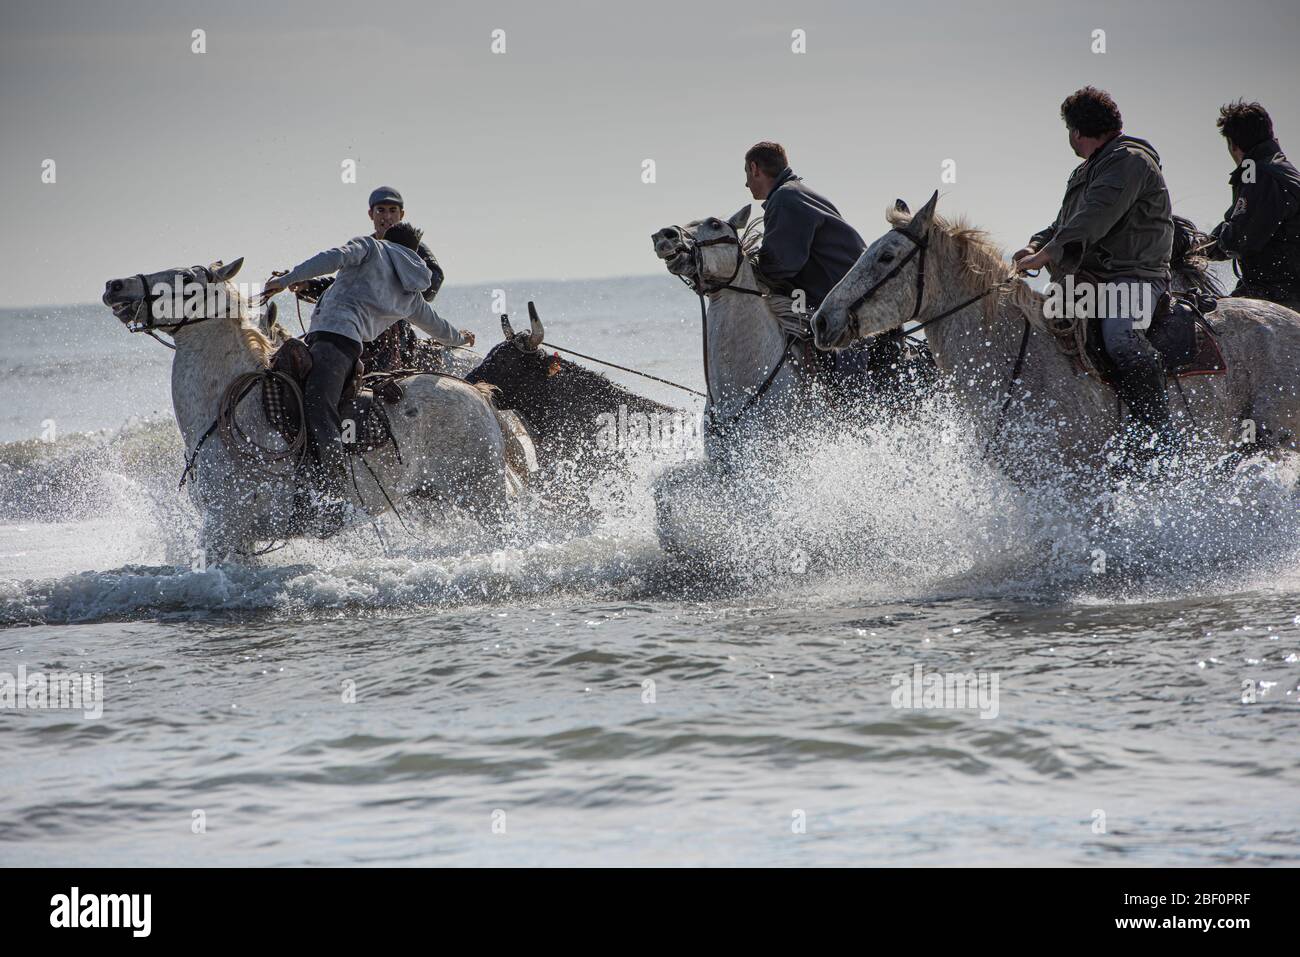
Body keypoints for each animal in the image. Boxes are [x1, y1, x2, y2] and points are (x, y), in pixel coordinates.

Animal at [100, 257, 527, 556]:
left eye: (187, 278)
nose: (114, 285)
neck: (229, 411)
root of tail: (478, 393)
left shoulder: (223, 527)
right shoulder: (235, 535)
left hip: (481, 495)